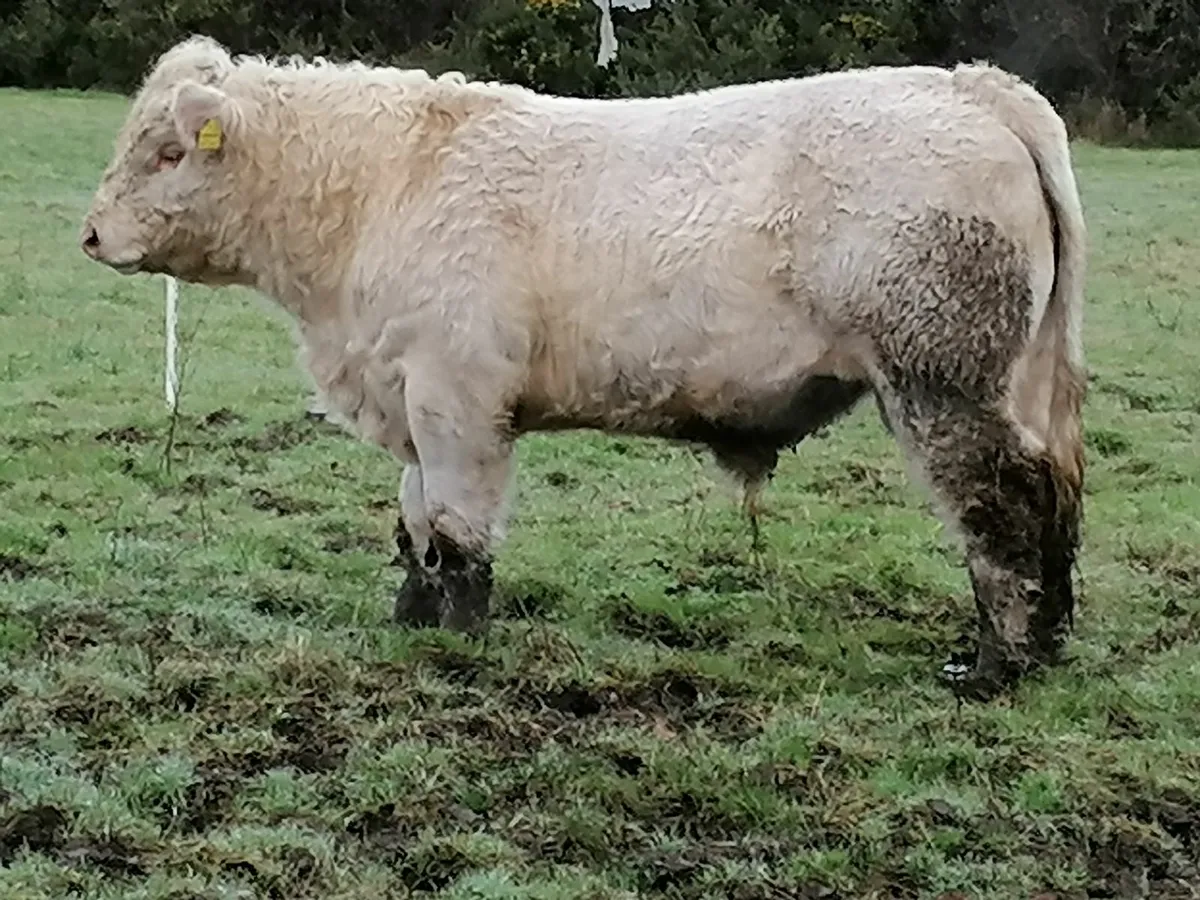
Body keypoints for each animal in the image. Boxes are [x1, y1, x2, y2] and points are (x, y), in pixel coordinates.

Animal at [80, 35, 1087, 701]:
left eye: (168, 151)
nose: (90, 235)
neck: (381, 192)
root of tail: (972, 87)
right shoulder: (412, 397)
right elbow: (414, 523)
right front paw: (408, 620)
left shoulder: (458, 399)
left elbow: (458, 532)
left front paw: (458, 644)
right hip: (1012, 382)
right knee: (1054, 495)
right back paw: (1046, 644)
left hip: (940, 383)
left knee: (1000, 509)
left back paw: (993, 667)